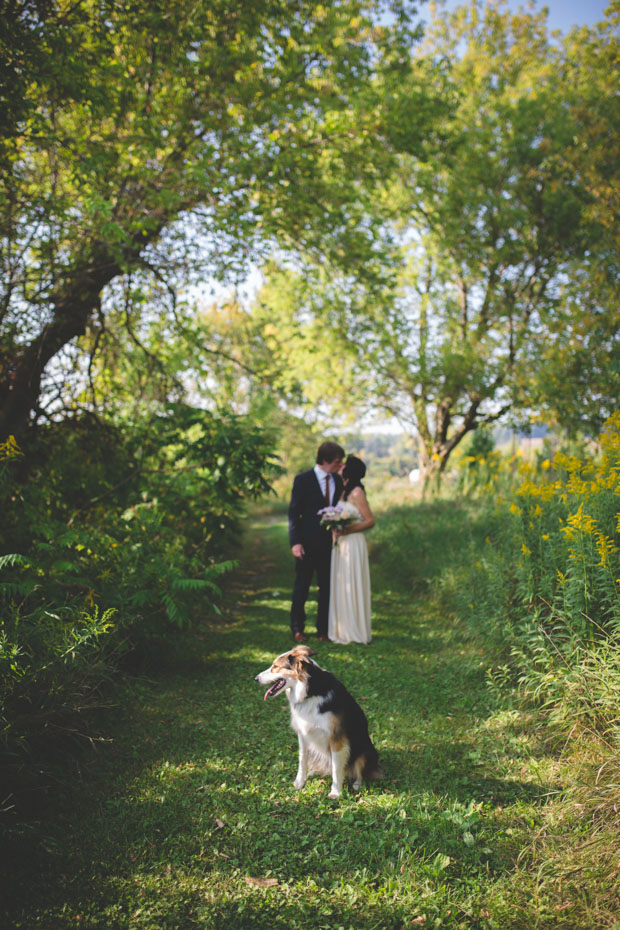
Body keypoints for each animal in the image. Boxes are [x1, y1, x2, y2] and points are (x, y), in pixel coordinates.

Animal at [253, 644, 382, 796]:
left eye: (275, 666)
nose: (255, 679)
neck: (309, 692)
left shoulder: (337, 739)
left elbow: (337, 769)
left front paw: (335, 792)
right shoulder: (303, 734)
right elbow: (302, 760)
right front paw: (299, 783)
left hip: (365, 750)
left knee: (359, 771)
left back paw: (356, 784)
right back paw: (314, 772)